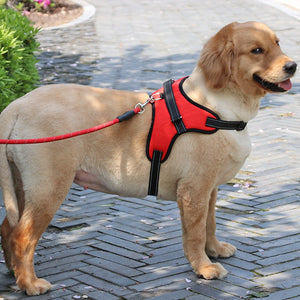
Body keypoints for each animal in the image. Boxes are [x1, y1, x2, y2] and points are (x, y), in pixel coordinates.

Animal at [0, 21, 296, 296]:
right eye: (256, 50)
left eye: (278, 43)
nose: (292, 66)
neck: (216, 106)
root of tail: (17, 105)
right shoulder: (194, 190)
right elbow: (196, 232)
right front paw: (203, 266)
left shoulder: (209, 189)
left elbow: (210, 224)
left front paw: (214, 249)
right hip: (49, 188)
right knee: (22, 236)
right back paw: (29, 283)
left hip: (23, 186)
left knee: (7, 229)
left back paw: (14, 272)